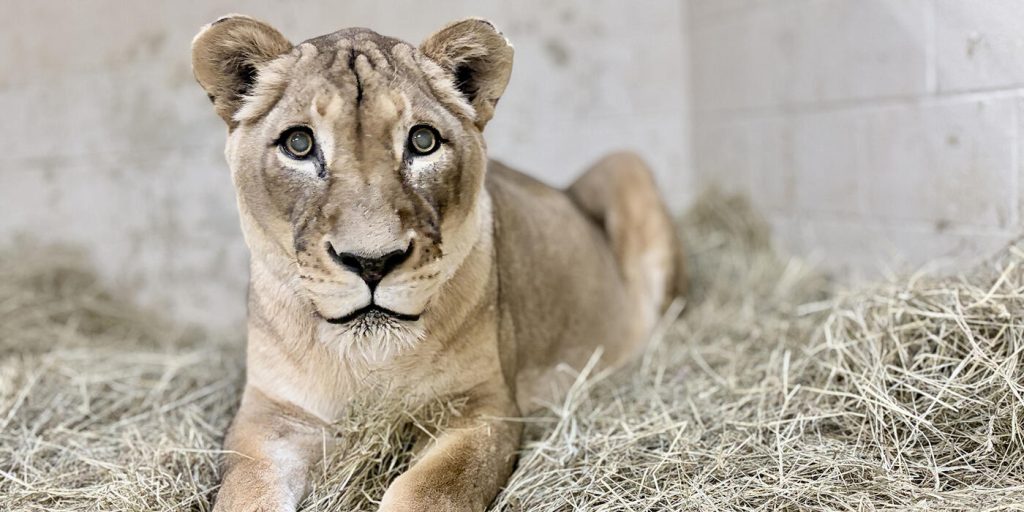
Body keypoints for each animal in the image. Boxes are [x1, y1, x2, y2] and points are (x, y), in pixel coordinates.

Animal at [191, 15, 686, 511]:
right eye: (298, 144)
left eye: (422, 141)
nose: (372, 262)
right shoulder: (269, 414)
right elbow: (248, 489)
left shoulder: (484, 407)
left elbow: (428, 488)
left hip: (625, 164)